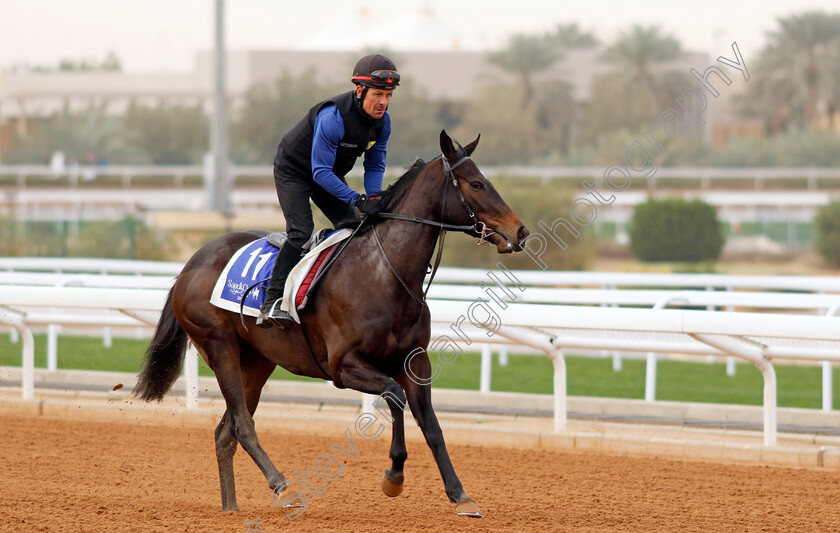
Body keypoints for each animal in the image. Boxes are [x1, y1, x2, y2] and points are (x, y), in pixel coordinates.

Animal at [132, 131, 528, 516]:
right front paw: (394, 475)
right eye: (476, 183)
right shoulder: (344, 367)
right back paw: (283, 487)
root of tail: (190, 265)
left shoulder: (415, 361)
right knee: (242, 425)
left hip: (257, 362)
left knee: (224, 431)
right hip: (220, 347)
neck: (384, 273)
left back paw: (231, 507)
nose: (520, 231)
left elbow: (431, 424)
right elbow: (395, 396)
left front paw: (460, 495)